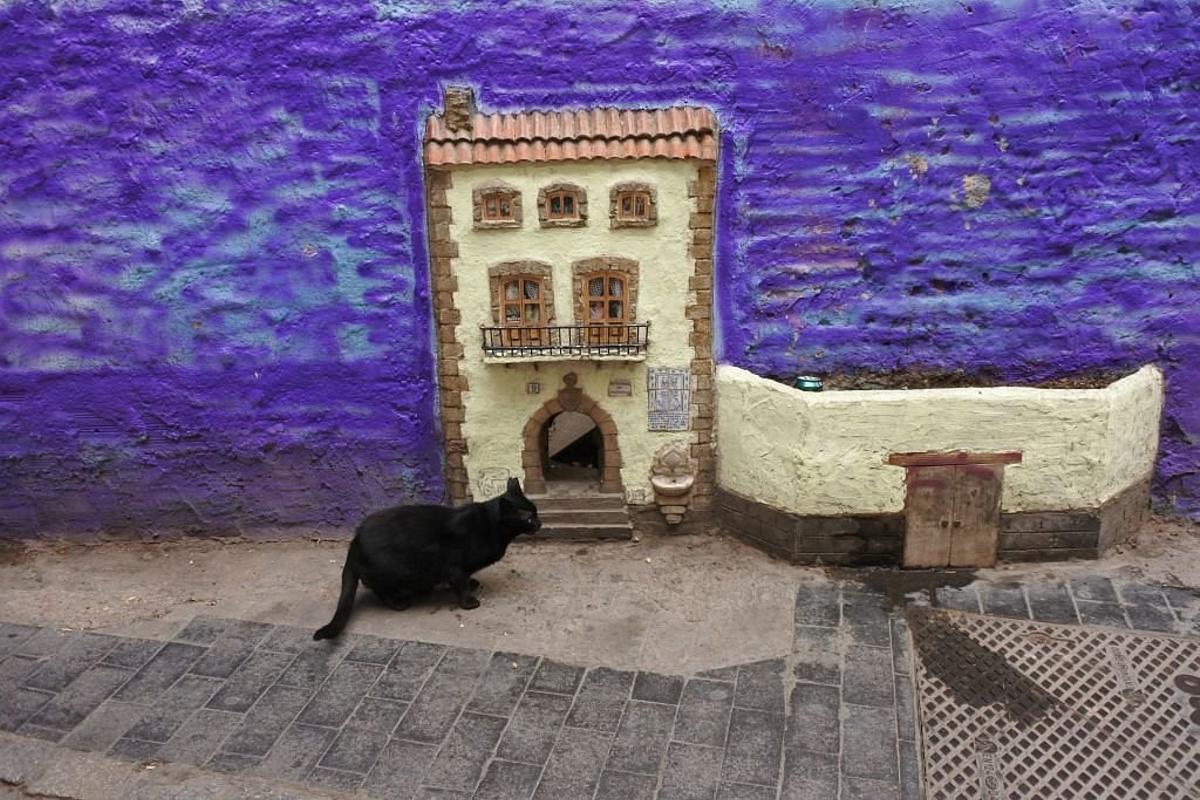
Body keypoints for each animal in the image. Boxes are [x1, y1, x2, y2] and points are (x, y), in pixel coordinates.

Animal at [319, 479, 544, 642]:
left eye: (536, 511)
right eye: (529, 518)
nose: (540, 523)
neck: (490, 526)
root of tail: (355, 541)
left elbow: (466, 580)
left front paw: (473, 583)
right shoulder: (455, 567)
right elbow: (461, 585)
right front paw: (469, 602)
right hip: (393, 572)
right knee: (378, 589)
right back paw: (398, 602)